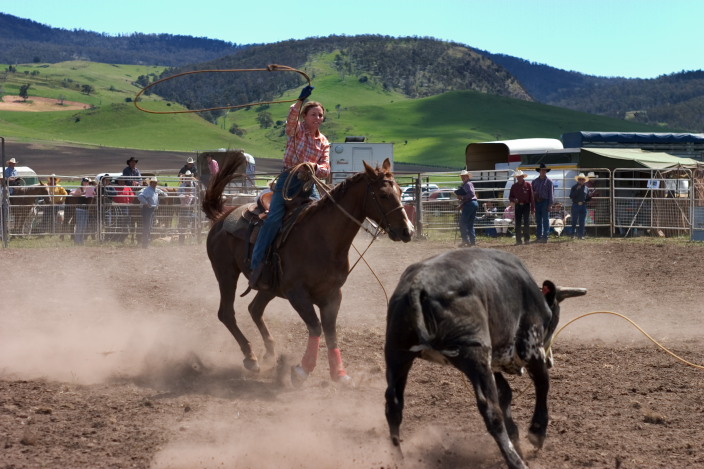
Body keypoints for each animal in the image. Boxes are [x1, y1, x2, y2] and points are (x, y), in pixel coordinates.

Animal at [202, 153, 412, 384]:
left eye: (400, 191)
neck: (322, 238)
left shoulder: (332, 294)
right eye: (383, 195)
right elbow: (315, 327)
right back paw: (251, 357)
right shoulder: (297, 293)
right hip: (226, 272)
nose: (407, 231)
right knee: (226, 314)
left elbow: (330, 332)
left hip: (269, 286)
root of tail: (222, 216)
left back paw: (270, 354)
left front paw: (339, 373)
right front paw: (302, 370)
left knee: (254, 309)